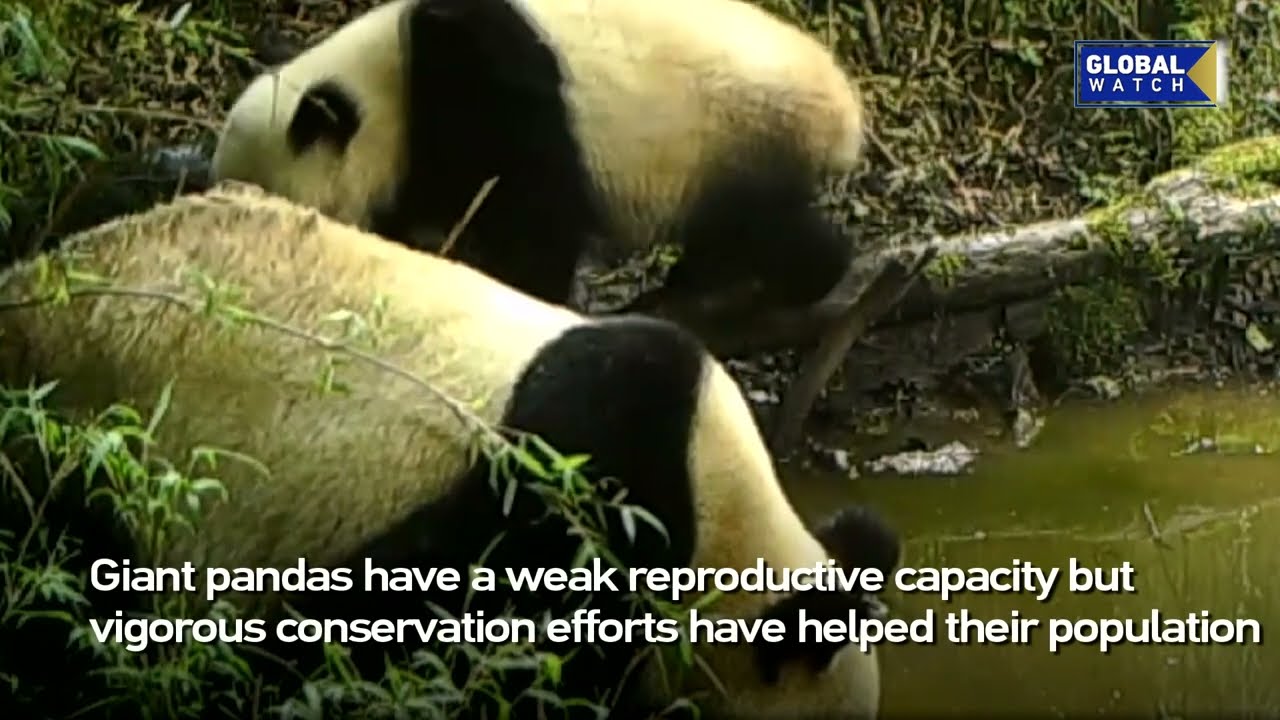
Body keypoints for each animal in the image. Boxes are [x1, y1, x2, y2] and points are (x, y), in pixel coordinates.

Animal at [210, 0, 865, 345]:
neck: (387, 82)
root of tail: (846, 110)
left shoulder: (488, 87)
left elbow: (533, 215)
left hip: (739, 137)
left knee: (765, 231)